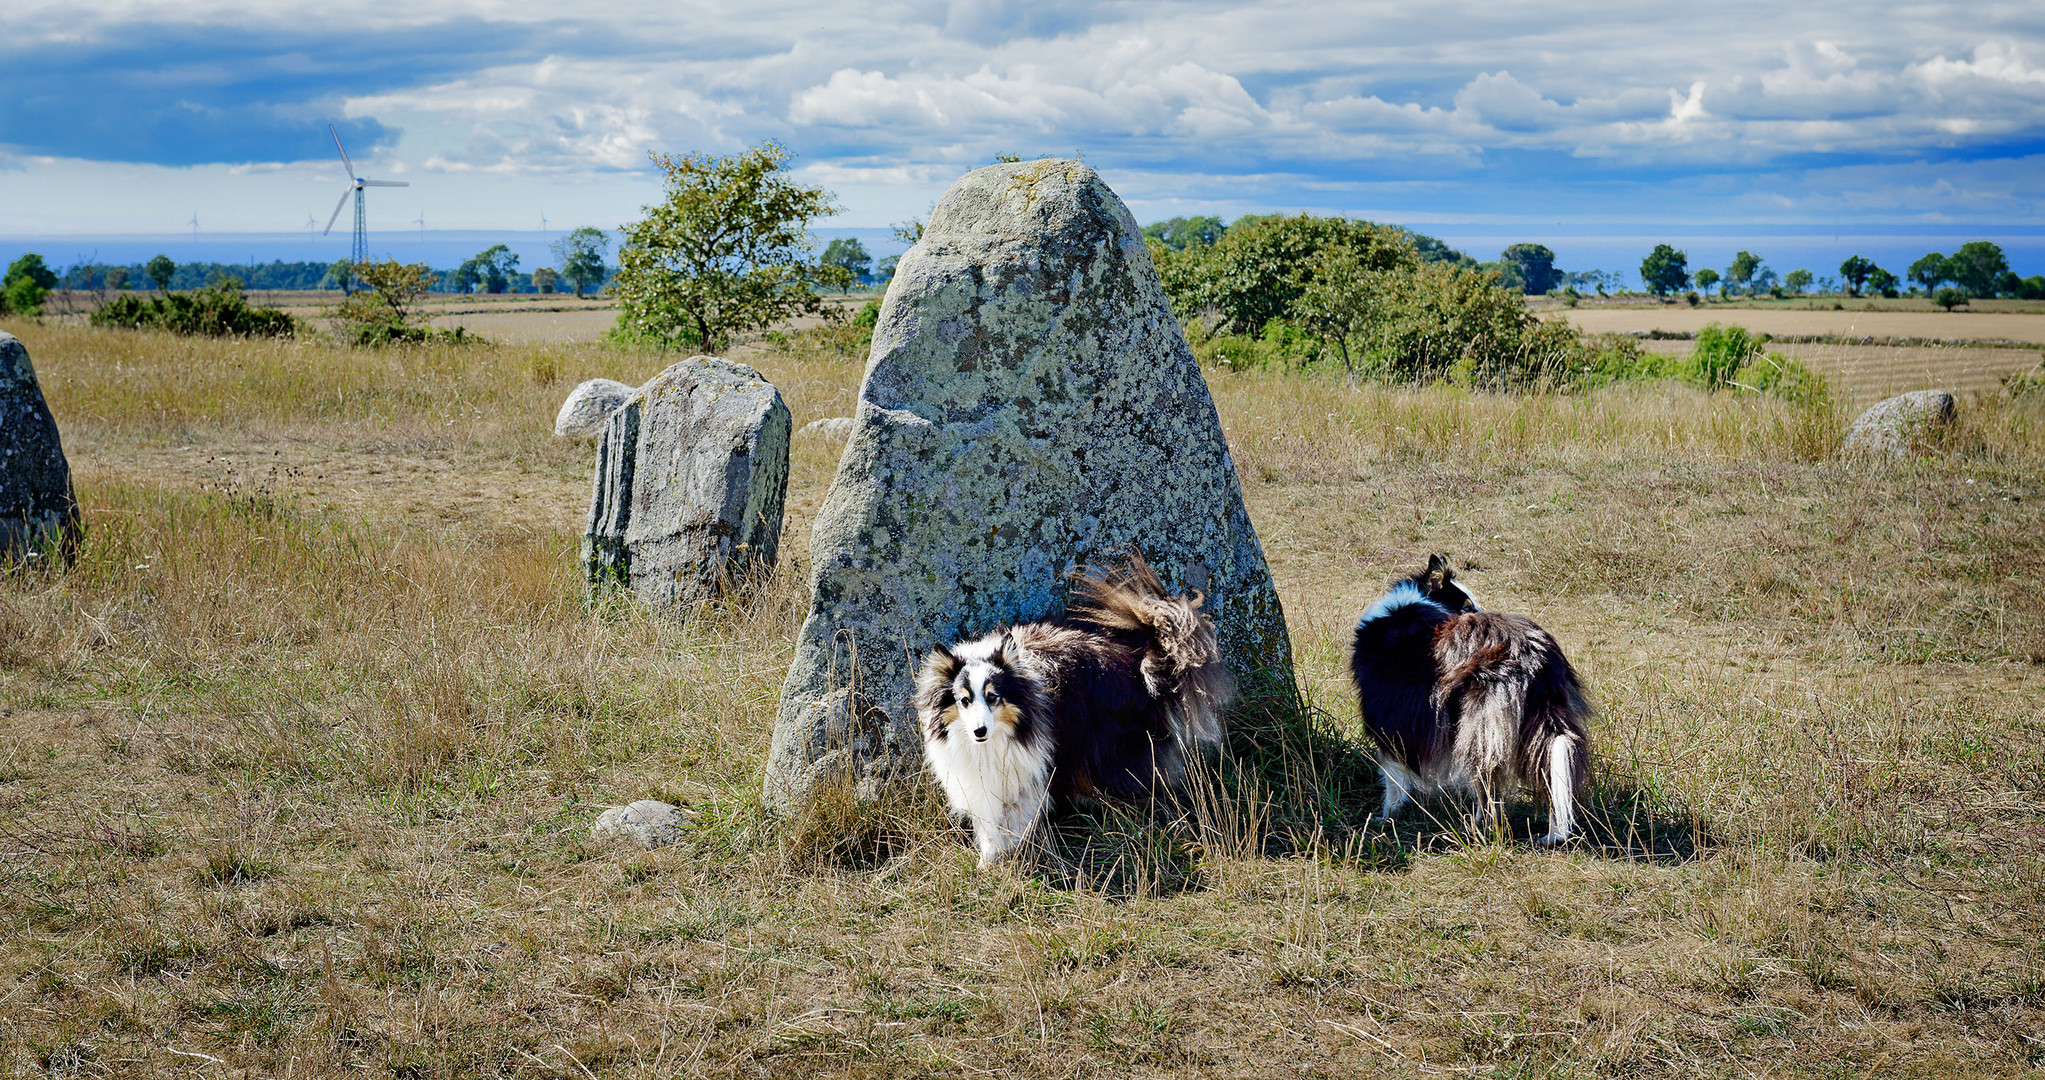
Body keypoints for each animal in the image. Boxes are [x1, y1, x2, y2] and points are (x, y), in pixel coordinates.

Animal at [916, 556, 1227, 867]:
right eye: (963, 700)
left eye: (993, 697)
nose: (979, 731)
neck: (994, 742)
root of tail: (1144, 654)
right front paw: (989, 859)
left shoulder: (1028, 766)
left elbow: (1016, 812)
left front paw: (1000, 856)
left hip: (1112, 741)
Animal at [1357, 556, 1595, 842]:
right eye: (1466, 605)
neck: (1421, 599)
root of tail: (1534, 653)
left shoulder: (1387, 716)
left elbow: (1391, 775)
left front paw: (1386, 817)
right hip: (1539, 722)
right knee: (1550, 775)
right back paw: (1554, 835)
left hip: (1481, 726)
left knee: (1488, 787)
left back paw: (1477, 828)